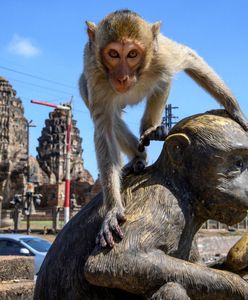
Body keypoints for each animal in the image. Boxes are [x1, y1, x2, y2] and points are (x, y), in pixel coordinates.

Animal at [80, 9, 248, 248]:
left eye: (132, 54)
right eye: (113, 54)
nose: (122, 77)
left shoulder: (162, 56)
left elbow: (189, 57)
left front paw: (236, 111)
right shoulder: (95, 74)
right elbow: (104, 129)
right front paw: (112, 210)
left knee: (163, 80)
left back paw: (151, 129)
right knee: (109, 114)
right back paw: (139, 156)